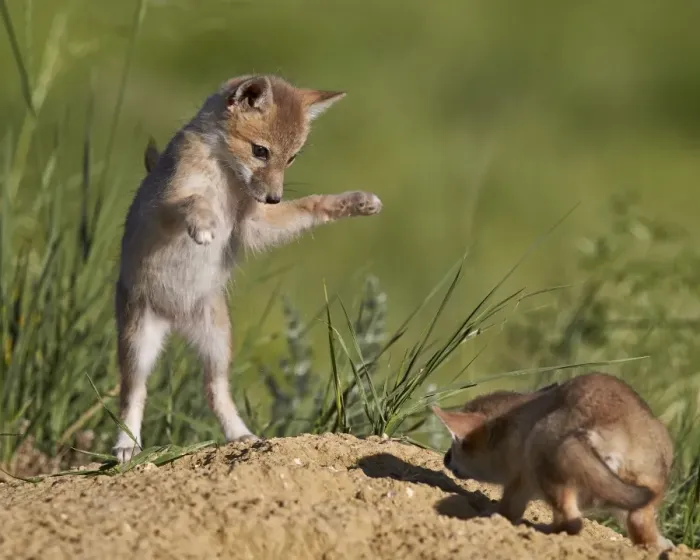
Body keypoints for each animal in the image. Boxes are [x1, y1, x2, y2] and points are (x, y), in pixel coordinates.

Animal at [113, 74, 382, 463]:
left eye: (292, 158)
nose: (273, 197)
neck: (225, 180)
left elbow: (309, 205)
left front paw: (354, 202)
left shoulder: (253, 227)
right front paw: (204, 222)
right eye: (260, 151)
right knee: (133, 394)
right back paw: (126, 445)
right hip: (138, 346)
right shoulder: (162, 206)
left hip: (216, 345)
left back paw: (241, 436)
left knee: (214, 392)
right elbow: (194, 201)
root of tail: (175, 320)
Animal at [432, 372, 674, 551]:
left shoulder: (519, 481)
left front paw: (488, 516)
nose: (445, 458)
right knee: (643, 533)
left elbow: (507, 509)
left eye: (458, 444)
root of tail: (613, 431)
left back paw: (543, 533)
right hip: (641, 504)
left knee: (572, 522)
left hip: (546, 466)